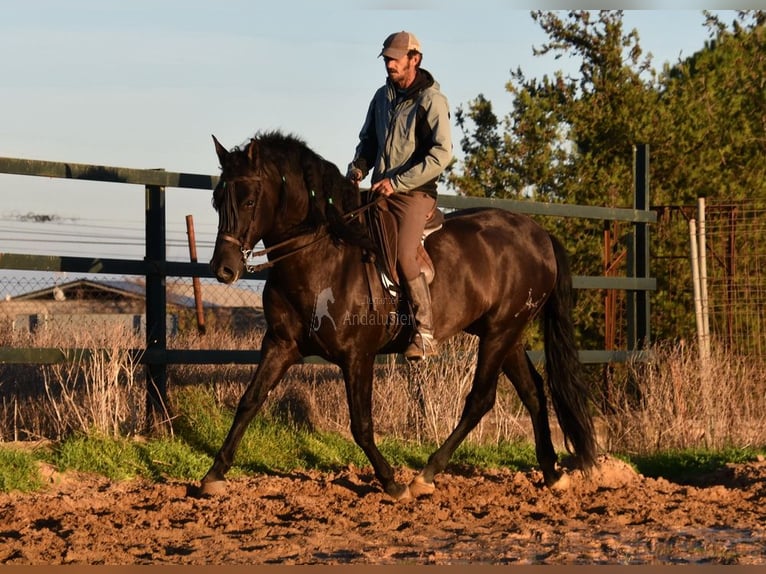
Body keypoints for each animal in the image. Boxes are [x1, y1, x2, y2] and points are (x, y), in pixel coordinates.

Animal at [201, 133, 596, 502]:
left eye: (249, 200)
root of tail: (539, 234)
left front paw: (391, 482)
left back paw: (426, 475)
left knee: (480, 400)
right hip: (506, 334)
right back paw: (552, 473)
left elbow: (361, 424)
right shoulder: (280, 344)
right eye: (217, 200)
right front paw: (213, 475)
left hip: (501, 333)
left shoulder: (357, 356)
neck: (323, 256)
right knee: (533, 392)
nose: (223, 269)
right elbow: (249, 401)